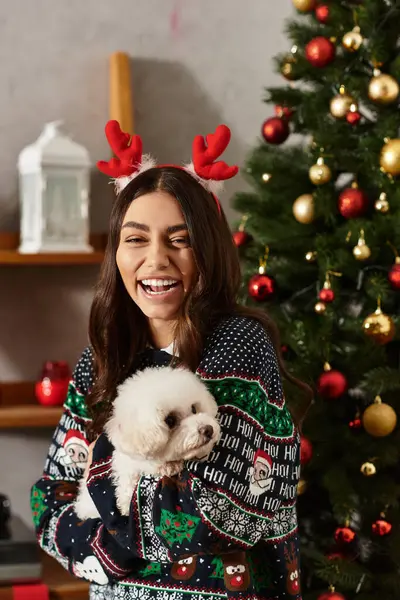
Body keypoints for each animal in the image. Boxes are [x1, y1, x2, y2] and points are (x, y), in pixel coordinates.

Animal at [75, 366, 219, 520]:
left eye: (194, 408)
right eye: (170, 420)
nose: (208, 430)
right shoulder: (127, 461)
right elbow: (128, 478)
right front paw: (125, 504)